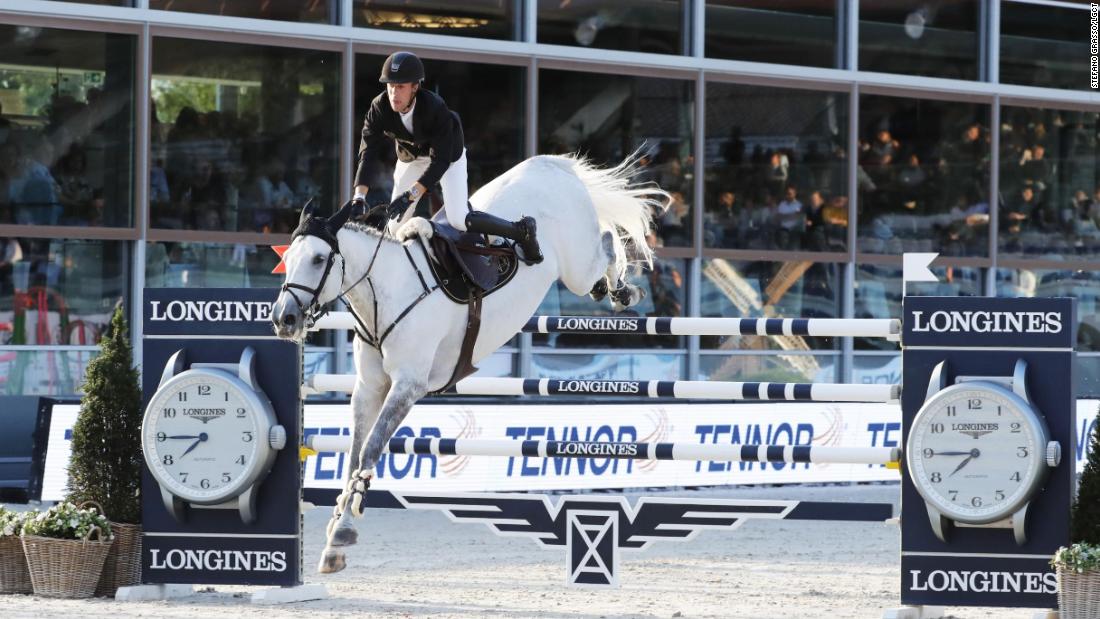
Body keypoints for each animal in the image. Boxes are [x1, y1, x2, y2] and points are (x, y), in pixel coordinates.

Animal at [272, 153, 668, 571]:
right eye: (289, 258)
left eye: (319, 259)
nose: (284, 319)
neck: (388, 291)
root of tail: (551, 165)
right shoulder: (368, 388)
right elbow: (353, 453)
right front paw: (335, 535)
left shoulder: (408, 385)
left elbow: (371, 448)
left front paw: (343, 532)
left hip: (576, 266)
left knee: (606, 244)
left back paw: (620, 288)